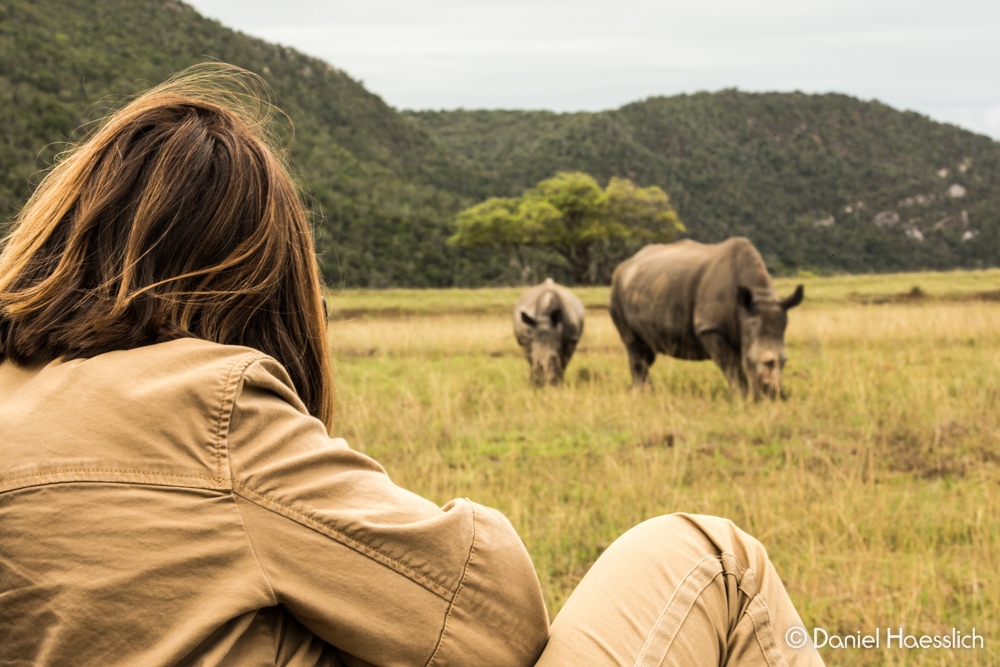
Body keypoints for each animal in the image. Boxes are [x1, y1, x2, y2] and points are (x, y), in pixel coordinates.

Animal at [600, 237, 804, 400]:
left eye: (785, 361)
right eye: (749, 360)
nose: (774, 397)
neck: (758, 298)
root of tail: (626, 263)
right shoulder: (711, 328)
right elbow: (732, 365)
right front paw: (743, 397)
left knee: (647, 351)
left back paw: (647, 392)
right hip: (616, 291)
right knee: (634, 345)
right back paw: (643, 394)